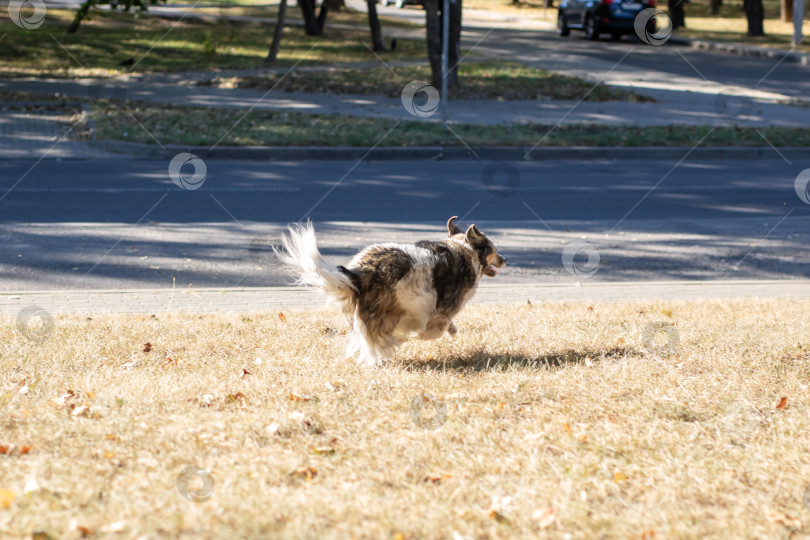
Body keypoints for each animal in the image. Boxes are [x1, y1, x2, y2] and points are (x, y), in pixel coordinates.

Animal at [278, 216, 504, 368]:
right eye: (494, 250)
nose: (504, 260)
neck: (465, 248)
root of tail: (359, 274)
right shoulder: (441, 308)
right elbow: (437, 327)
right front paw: (431, 333)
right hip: (406, 303)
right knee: (376, 340)